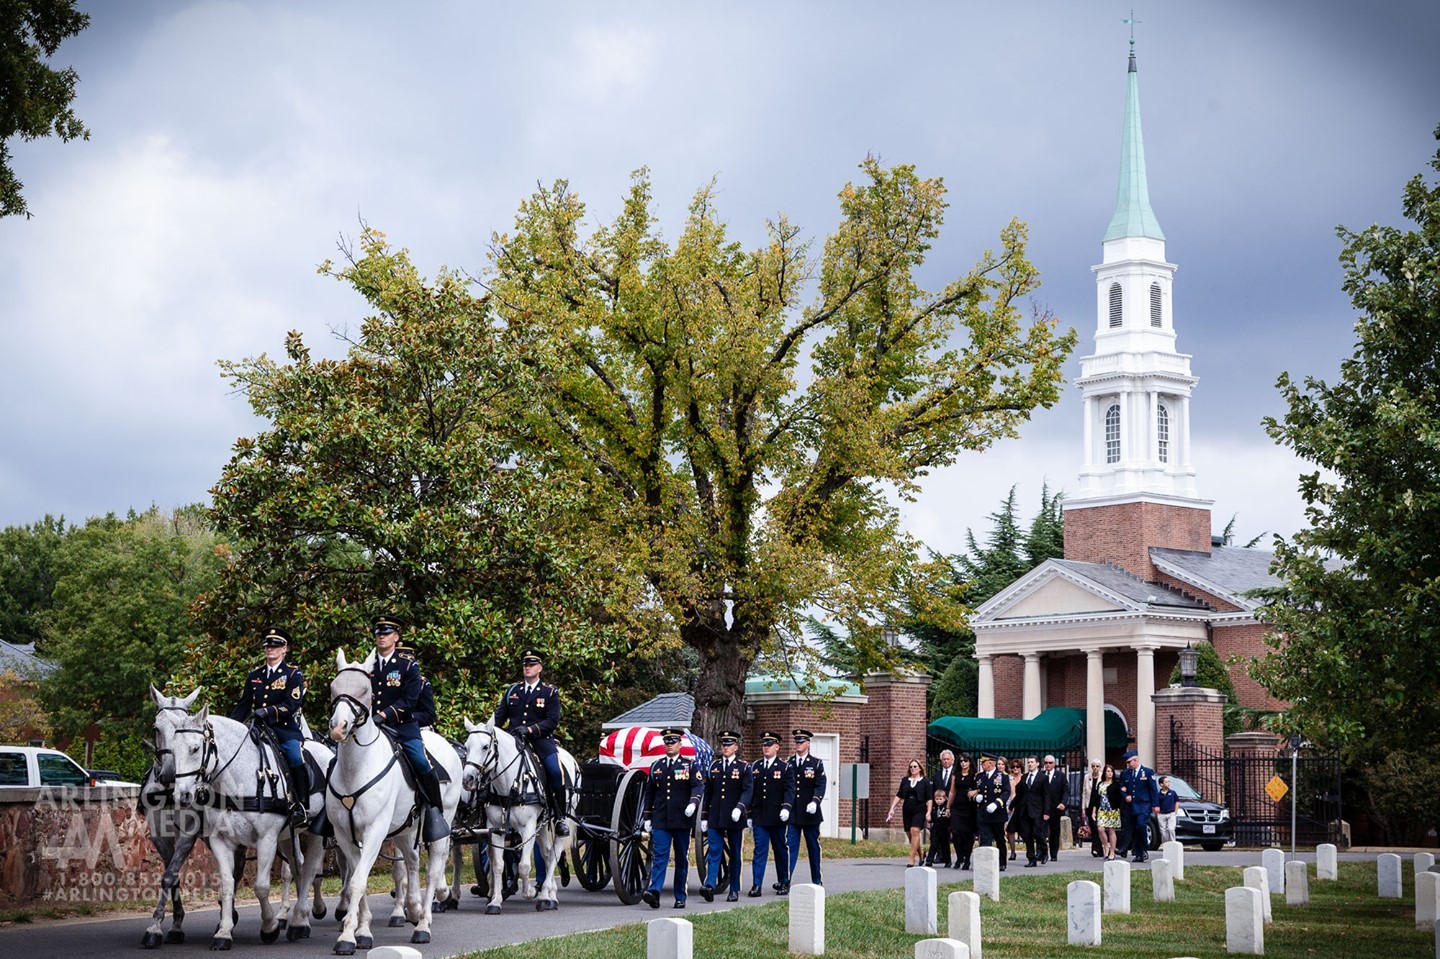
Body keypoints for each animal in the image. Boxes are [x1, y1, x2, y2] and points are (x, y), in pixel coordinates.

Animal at [152, 688, 331, 950]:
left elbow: (261, 886)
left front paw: (269, 927)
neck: (237, 779)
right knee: (297, 867)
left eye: (195, 749)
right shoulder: (221, 841)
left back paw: (300, 920)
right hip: (289, 835)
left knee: (309, 872)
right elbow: (227, 885)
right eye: (172, 747)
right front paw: (224, 932)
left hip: (316, 833)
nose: (181, 795)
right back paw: (300, 920)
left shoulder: (267, 840)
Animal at [326, 645, 460, 950]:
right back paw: (413, 908)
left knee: (432, 869)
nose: (339, 727)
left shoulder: (375, 830)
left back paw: (423, 924)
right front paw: (362, 930)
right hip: (403, 830)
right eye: (334, 687)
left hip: (441, 822)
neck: (356, 767)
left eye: (364, 690)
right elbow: (358, 879)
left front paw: (347, 937)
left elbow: (358, 881)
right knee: (411, 861)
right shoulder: (345, 834)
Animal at [457, 717, 576, 910]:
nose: (468, 779)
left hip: (560, 820)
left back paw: (545, 896)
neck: (510, 783)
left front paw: (529, 892)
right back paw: (549, 893)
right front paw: (495, 902)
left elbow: (524, 865)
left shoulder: (528, 827)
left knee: (555, 852)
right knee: (548, 853)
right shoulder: (496, 828)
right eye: (467, 746)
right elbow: (498, 865)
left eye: (485, 747)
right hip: (542, 825)